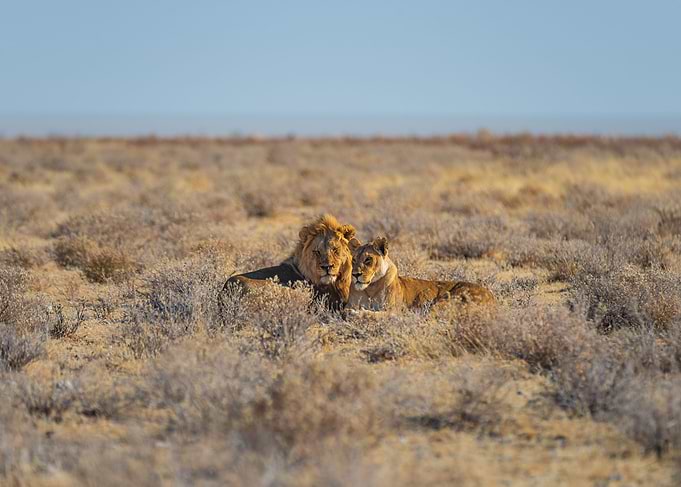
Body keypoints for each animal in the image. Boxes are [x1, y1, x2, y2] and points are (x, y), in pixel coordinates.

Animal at [347, 237, 496, 311]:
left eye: (368, 259)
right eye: (353, 260)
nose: (355, 275)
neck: (370, 288)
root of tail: (493, 299)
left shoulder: (393, 311)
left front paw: (358, 314)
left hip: (443, 301)